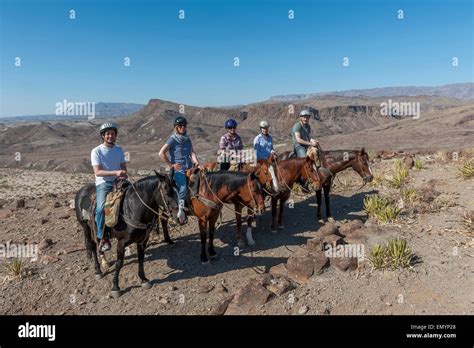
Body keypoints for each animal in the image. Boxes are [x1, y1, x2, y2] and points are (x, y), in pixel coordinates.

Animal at [75, 170, 179, 298]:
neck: (132, 209)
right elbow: (119, 263)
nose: (178, 216)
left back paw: (105, 261)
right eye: (167, 192)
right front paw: (115, 287)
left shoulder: (142, 240)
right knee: (92, 246)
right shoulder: (121, 243)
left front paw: (144, 279)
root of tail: (81, 191)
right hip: (86, 227)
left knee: (98, 242)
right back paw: (98, 270)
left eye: (178, 189)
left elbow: (141, 258)